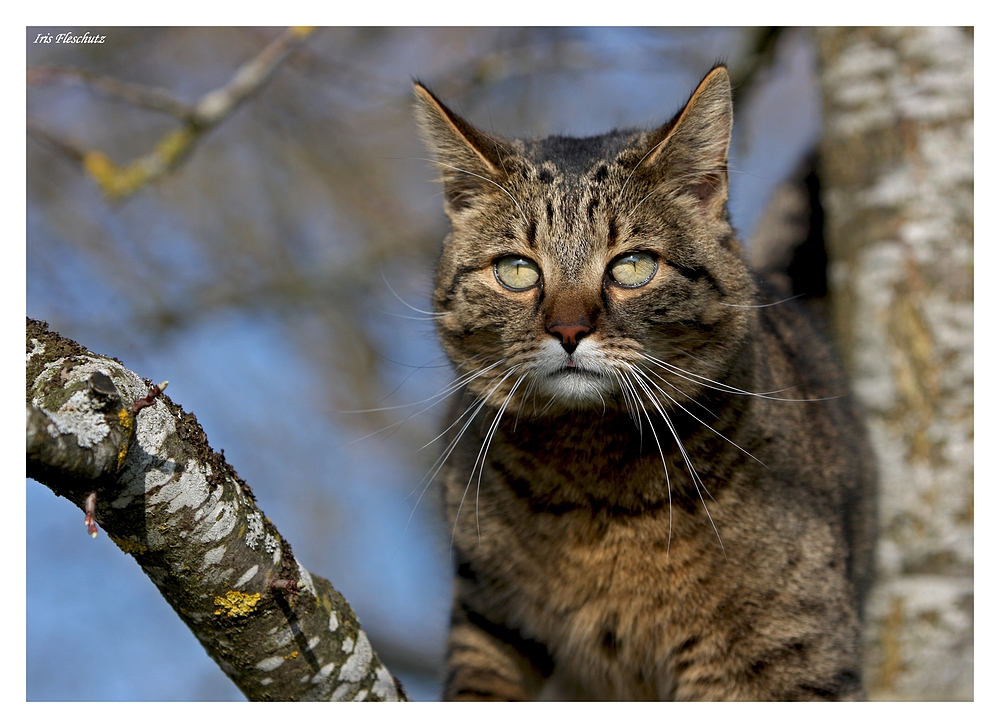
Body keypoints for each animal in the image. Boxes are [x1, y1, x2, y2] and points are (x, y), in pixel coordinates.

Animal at [412, 67, 876, 700]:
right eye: (517, 270)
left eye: (632, 266)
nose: (568, 329)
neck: (596, 492)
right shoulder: (487, 615)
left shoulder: (793, 654)